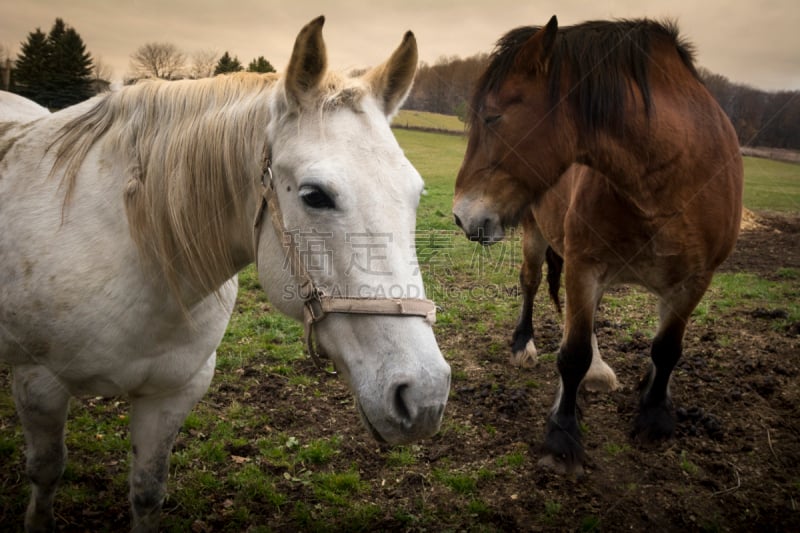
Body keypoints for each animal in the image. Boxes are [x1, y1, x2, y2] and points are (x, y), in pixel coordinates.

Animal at [0, 17, 450, 532]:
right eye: (315, 195)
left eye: (415, 194)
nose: (425, 395)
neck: (138, 259)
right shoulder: (39, 384)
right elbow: (46, 472)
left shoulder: (173, 393)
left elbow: (147, 492)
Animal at [456, 17, 744, 474]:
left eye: (493, 116)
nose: (461, 215)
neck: (673, 176)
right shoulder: (583, 266)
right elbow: (571, 354)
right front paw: (562, 436)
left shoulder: (695, 280)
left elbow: (667, 348)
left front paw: (655, 413)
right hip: (537, 235)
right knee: (531, 284)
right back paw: (524, 345)